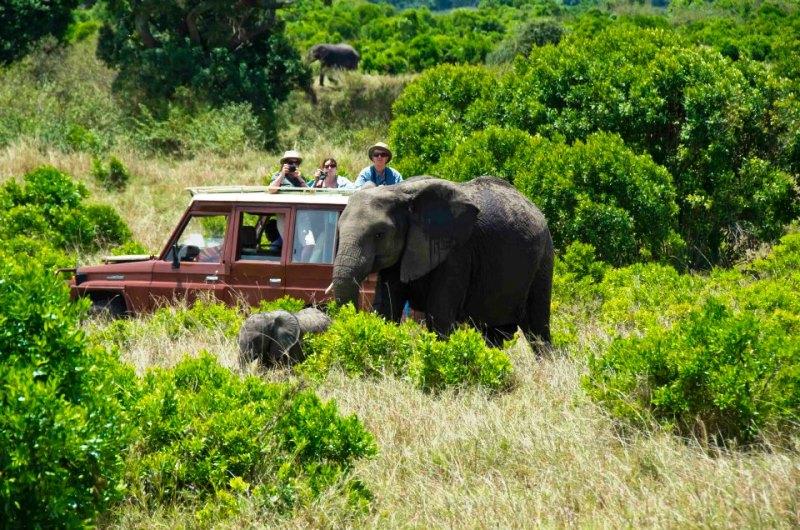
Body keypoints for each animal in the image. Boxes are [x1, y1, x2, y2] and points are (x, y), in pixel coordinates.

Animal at [332, 176, 553, 345]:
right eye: (338, 230)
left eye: (379, 234)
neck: (399, 191)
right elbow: (387, 307)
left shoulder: (457, 252)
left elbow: (438, 315)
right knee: (494, 333)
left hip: (544, 258)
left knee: (537, 327)